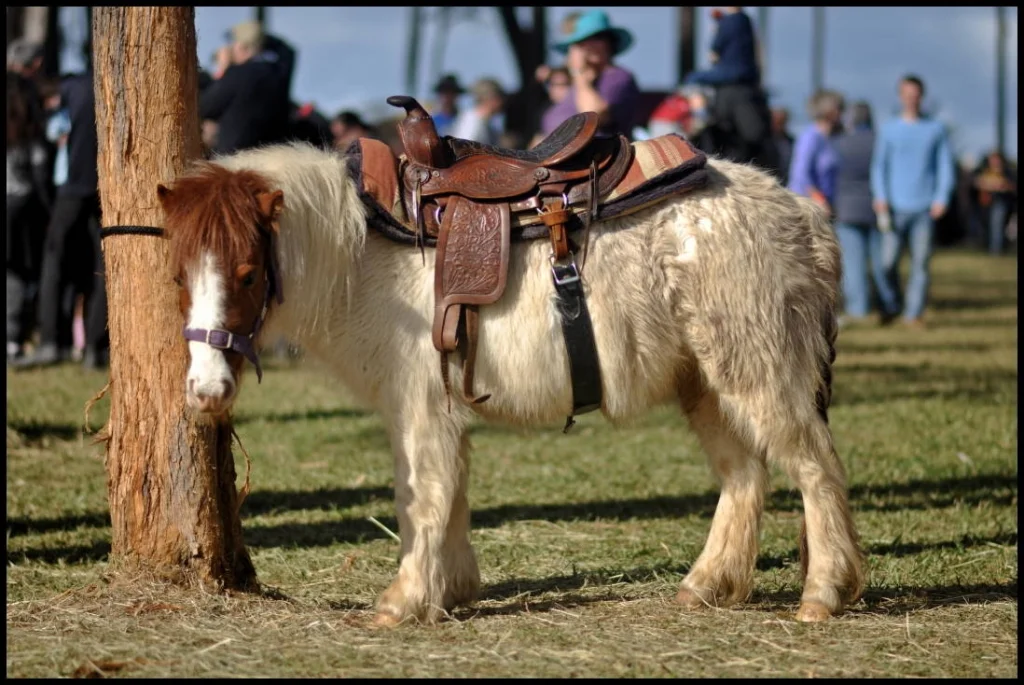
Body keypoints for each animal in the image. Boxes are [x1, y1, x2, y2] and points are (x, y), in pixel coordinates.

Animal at [156, 140, 865, 626]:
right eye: (178, 275)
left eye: (248, 273)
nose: (206, 391)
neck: (360, 253)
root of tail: (804, 216)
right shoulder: (434, 410)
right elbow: (450, 493)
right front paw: (451, 588)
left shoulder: (419, 407)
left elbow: (422, 495)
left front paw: (404, 600)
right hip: (706, 383)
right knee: (744, 476)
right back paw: (706, 585)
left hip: (758, 370)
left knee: (815, 468)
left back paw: (822, 593)